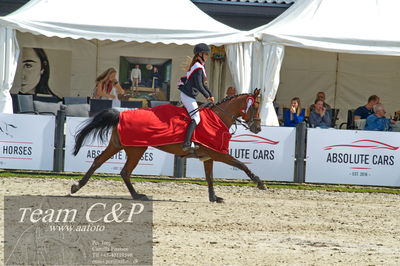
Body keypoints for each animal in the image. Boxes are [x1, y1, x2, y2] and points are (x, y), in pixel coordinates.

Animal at [70, 88, 268, 203]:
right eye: (255, 107)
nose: (257, 128)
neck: (218, 118)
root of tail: (121, 114)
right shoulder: (219, 154)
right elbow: (241, 165)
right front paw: (260, 183)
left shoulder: (209, 156)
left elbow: (210, 177)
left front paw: (214, 197)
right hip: (136, 150)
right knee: (124, 171)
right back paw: (138, 196)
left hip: (118, 145)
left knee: (98, 161)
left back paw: (77, 186)